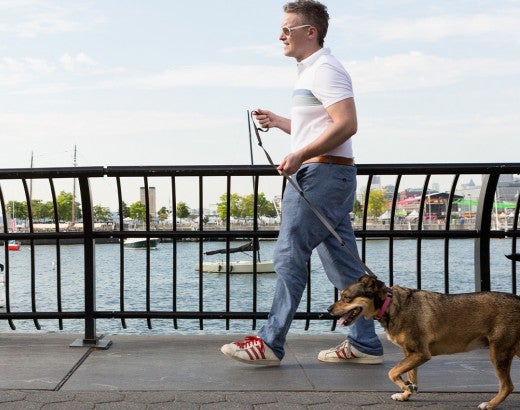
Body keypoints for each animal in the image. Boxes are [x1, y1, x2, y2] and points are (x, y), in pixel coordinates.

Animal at [330, 274, 520, 408]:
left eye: (346, 297)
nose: (328, 309)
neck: (391, 305)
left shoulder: (421, 353)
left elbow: (392, 372)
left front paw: (405, 387)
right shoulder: (410, 353)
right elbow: (410, 375)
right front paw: (406, 392)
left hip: (499, 352)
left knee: (507, 386)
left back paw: (490, 404)